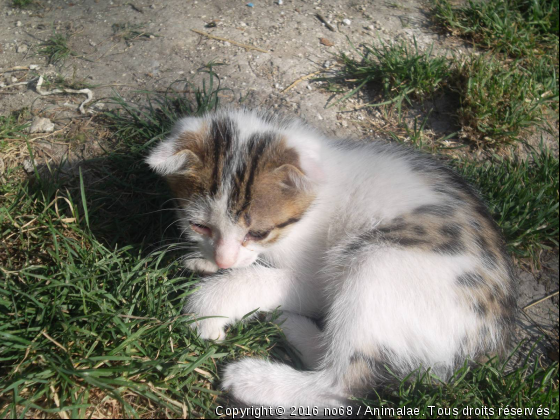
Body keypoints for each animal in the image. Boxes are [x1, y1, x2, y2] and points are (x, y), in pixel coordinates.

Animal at [145, 107, 516, 406]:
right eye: (199, 226)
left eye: (258, 233)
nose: (223, 260)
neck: (312, 204)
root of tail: (486, 342)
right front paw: (204, 261)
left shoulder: (316, 277)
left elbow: (256, 277)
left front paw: (208, 308)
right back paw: (290, 324)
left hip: (377, 261)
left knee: (343, 385)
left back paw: (255, 379)